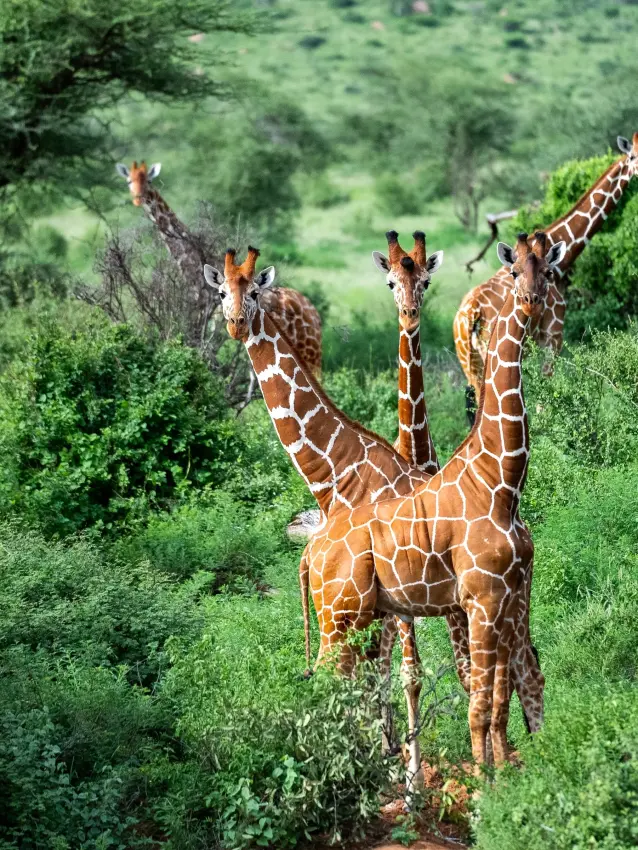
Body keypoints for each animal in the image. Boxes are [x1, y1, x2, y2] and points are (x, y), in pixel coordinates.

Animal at [116, 161, 323, 376]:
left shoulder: (205, 316)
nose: (138, 199)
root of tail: (315, 315)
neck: (192, 264)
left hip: (310, 352)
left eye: (148, 181)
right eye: (129, 181)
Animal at [305, 232, 565, 797]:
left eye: (549, 271)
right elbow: (479, 703)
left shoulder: (504, 597)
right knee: (326, 684)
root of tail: (310, 551)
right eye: (515, 272)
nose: (531, 303)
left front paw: (503, 776)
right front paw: (487, 789)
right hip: (340, 617)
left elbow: (496, 697)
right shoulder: (482, 599)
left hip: (360, 619)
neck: (500, 481)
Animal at [454, 133, 638, 424]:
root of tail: (470, 314)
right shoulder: (553, 336)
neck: (563, 257)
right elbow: (546, 389)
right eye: (632, 156)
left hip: (468, 361)